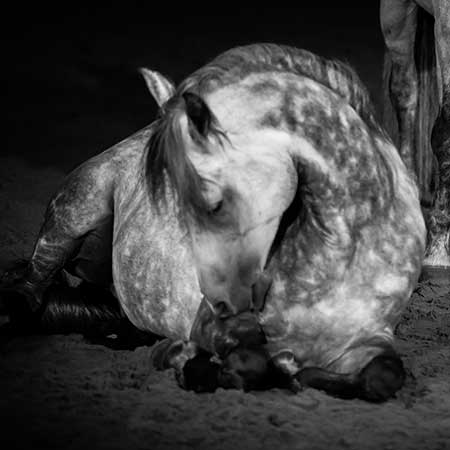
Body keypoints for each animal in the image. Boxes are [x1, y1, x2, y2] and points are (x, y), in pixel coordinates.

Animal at [0, 44, 426, 402]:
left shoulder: (371, 339)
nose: (224, 302)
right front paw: (190, 362)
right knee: (29, 293)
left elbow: (384, 376)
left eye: (213, 203)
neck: (339, 257)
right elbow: (251, 361)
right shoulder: (209, 326)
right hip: (72, 216)